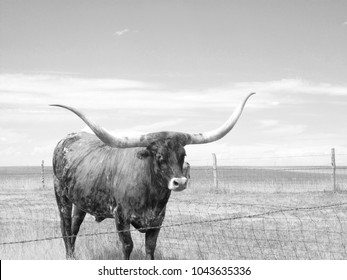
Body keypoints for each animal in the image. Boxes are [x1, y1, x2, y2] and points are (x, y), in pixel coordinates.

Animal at [51, 93, 256, 260]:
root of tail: (66, 139)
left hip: (81, 201)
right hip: (61, 195)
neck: (151, 194)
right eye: (159, 156)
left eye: (183, 154)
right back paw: (69, 257)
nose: (180, 182)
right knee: (65, 226)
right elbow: (127, 247)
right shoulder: (121, 216)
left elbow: (150, 248)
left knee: (75, 227)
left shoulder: (157, 220)